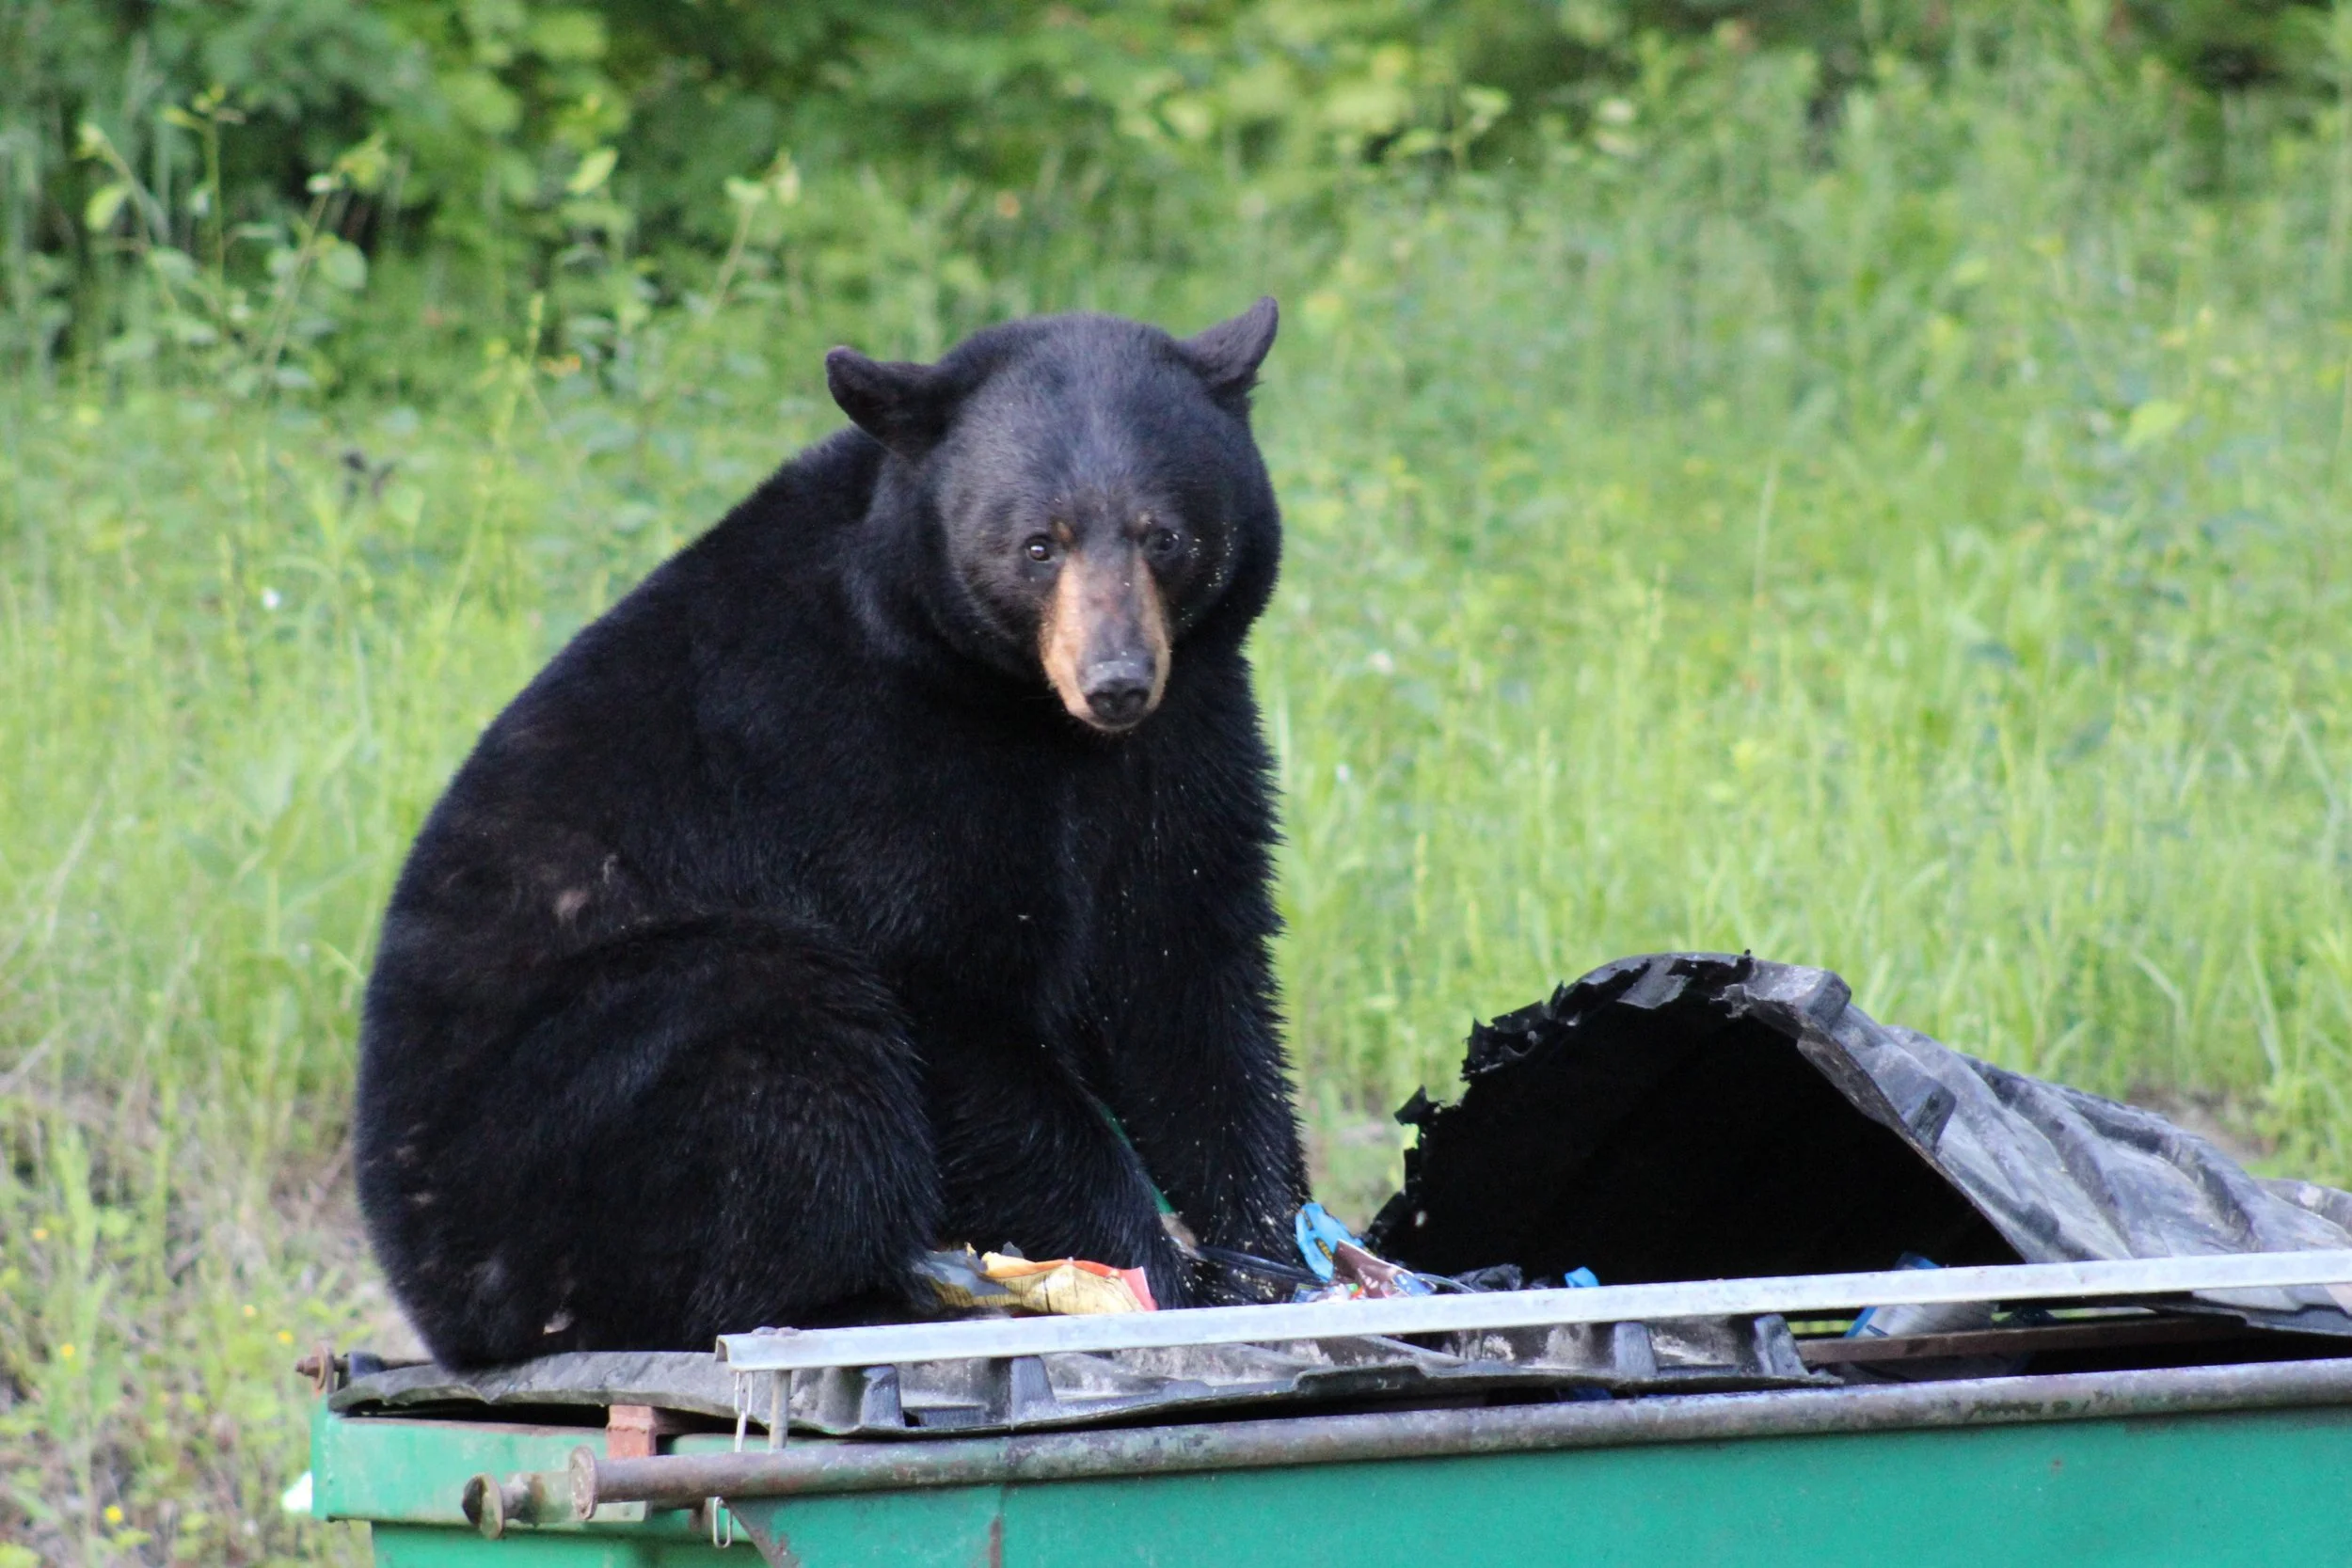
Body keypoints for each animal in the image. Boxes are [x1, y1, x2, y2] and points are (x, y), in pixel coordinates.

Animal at [354, 301, 1308, 1368]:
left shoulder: (1183, 736)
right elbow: (952, 993)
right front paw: (1147, 1270)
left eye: (1163, 535)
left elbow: (1186, 974)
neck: (1024, 711)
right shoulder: (862, 756)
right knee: (788, 1040)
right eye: (1037, 544)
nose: (1115, 680)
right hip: (571, 1113)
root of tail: (437, 1303)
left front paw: (1268, 1258)